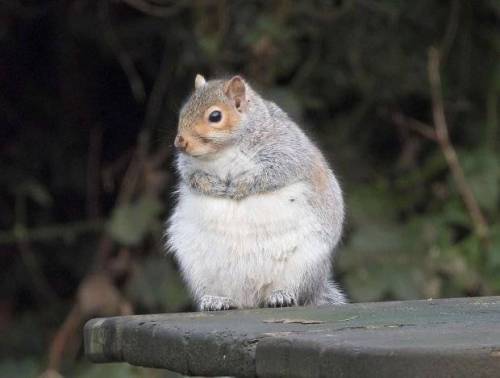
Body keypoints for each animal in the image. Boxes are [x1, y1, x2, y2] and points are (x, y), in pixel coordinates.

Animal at [166, 74, 346, 310]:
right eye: (183, 111)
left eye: (215, 116)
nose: (180, 142)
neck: (222, 152)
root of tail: (251, 297)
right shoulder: (188, 164)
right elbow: (191, 176)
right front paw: (212, 185)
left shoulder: (286, 150)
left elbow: (273, 173)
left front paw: (239, 186)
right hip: (200, 269)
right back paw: (216, 300)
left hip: (305, 264)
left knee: (295, 290)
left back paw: (281, 295)